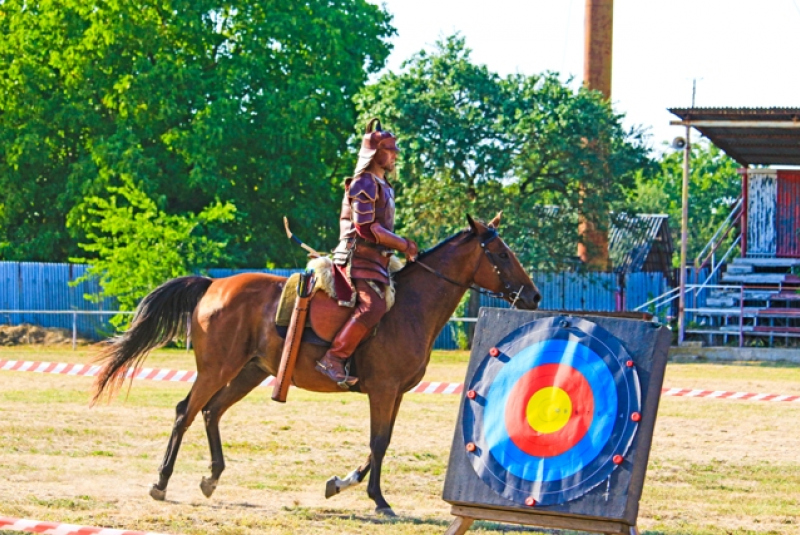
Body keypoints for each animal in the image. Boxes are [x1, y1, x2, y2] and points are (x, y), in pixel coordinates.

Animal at [90, 213, 540, 516]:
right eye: (502, 254)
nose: (534, 296)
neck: (410, 306)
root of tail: (213, 284)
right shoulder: (383, 390)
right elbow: (379, 442)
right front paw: (379, 500)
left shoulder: (395, 394)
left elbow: (380, 444)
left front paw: (341, 484)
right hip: (217, 369)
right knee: (186, 411)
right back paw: (161, 482)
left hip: (250, 371)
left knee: (211, 412)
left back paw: (211, 477)